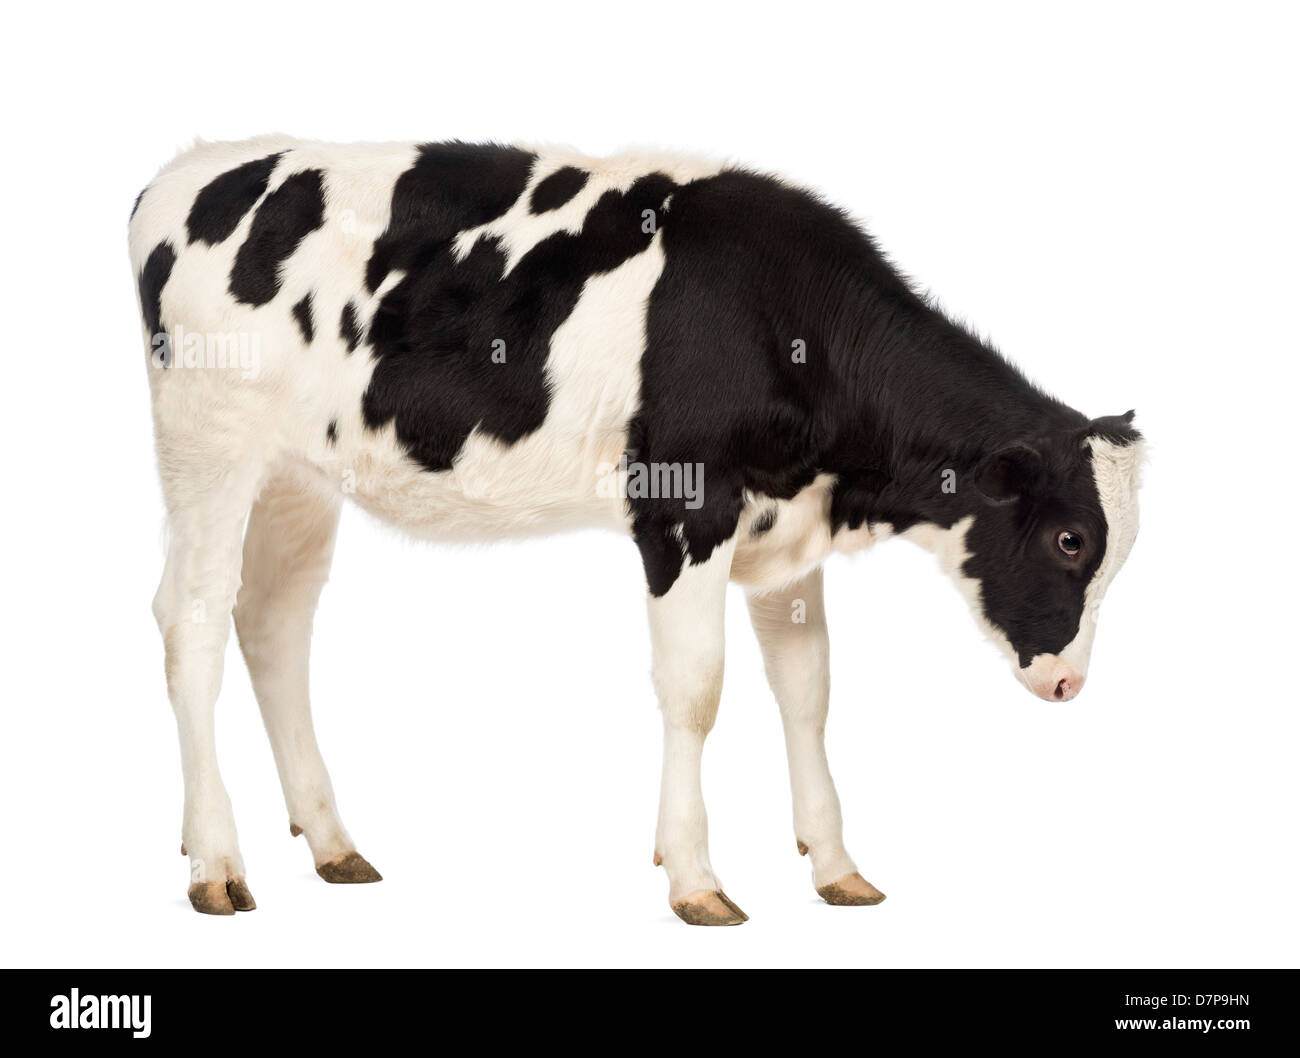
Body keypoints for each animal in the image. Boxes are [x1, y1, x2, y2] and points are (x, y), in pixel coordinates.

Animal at [130, 137, 1144, 924]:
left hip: (299, 476)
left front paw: (836, 867)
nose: (1068, 683)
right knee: (192, 623)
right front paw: (696, 878)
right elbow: (697, 691)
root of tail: (186, 170)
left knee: (272, 625)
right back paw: (217, 863)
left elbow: (808, 693)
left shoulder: (786, 536)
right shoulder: (683, 512)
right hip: (208, 443)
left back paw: (332, 842)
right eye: (1070, 541)